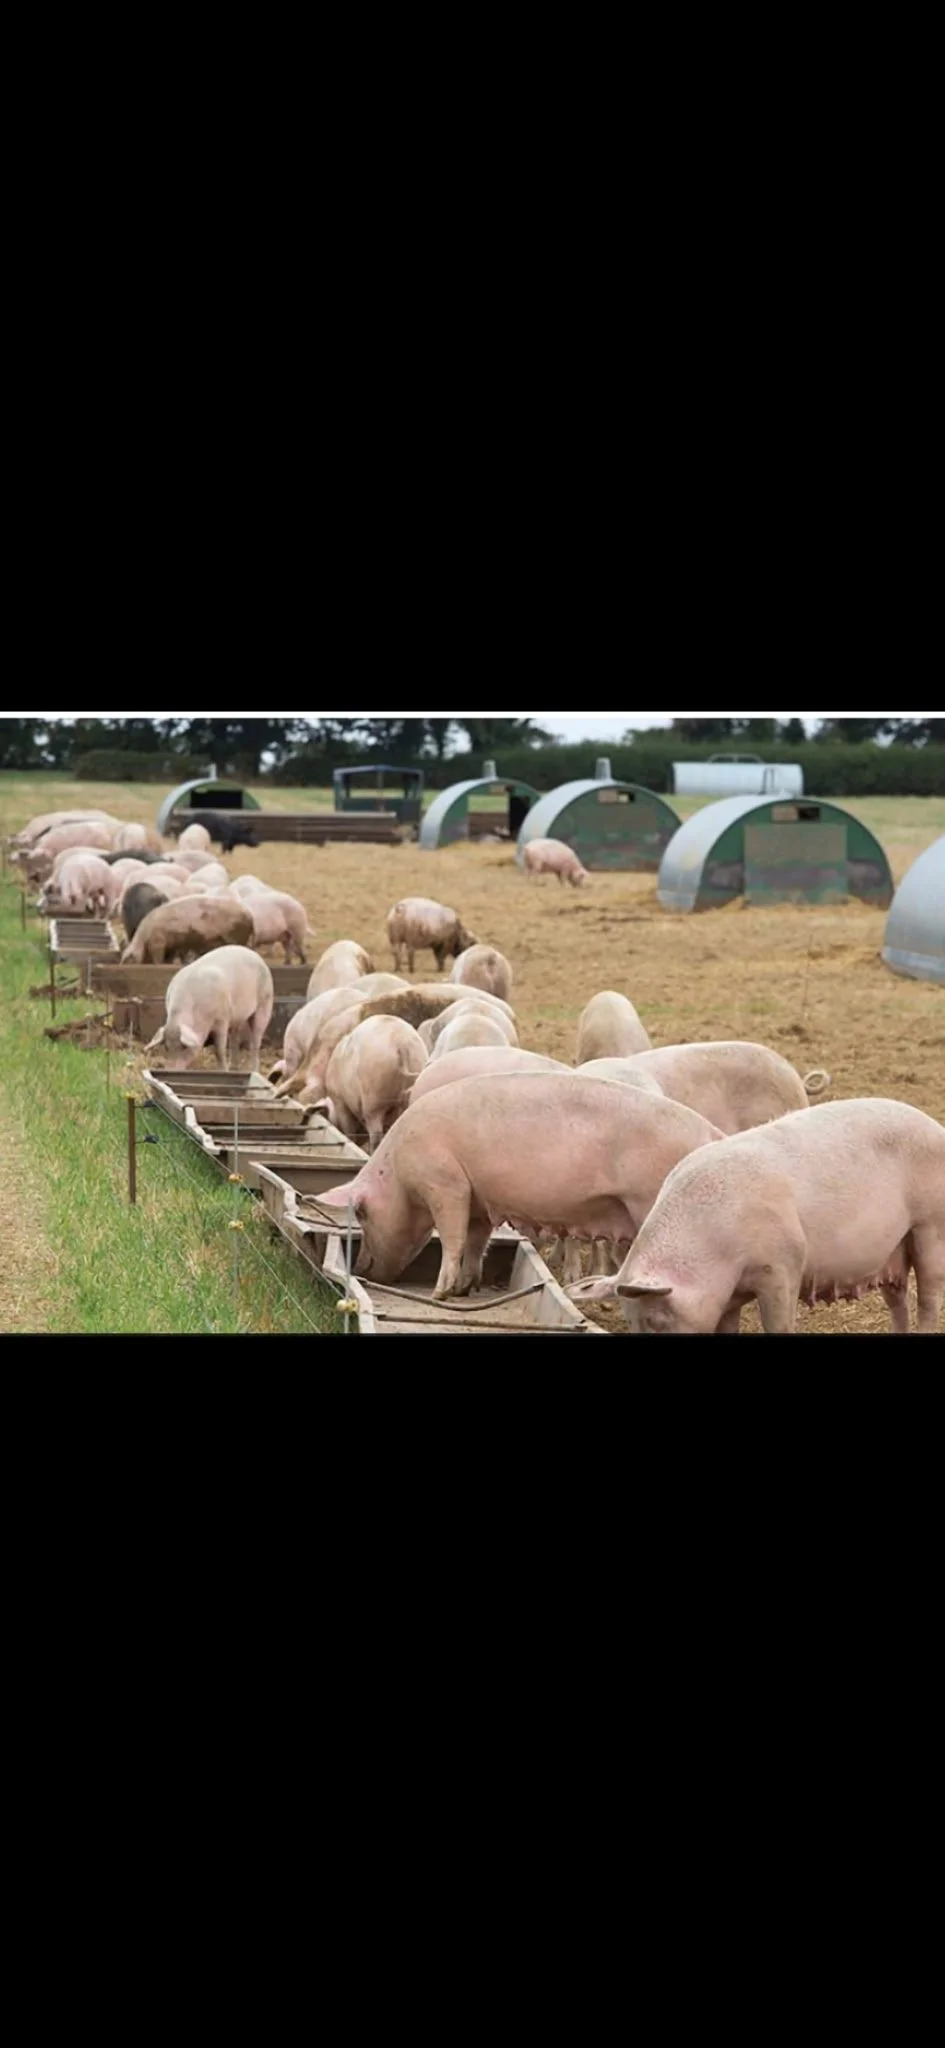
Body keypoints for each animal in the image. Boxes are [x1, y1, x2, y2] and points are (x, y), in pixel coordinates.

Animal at [120, 895, 253, 965]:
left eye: (127, 961)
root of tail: (250, 916)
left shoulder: (158, 940)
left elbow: (158, 958)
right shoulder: (177, 944)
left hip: (236, 934)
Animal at [145, 947, 274, 1071]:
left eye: (184, 1047)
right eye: (167, 1047)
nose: (170, 1070)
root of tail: (256, 955)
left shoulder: (222, 1018)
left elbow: (219, 1051)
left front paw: (223, 1071)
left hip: (265, 1002)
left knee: (255, 1042)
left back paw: (254, 1070)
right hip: (236, 1017)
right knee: (235, 1037)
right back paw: (233, 1068)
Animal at [316, 1072, 724, 1300]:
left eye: (362, 1214)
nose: (363, 1269)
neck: (397, 1170)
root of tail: (713, 1136)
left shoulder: (445, 1183)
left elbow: (451, 1236)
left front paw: (439, 1293)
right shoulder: (478, 1200)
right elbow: (475, 1242)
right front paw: (465, 1288)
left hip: (652, 1205)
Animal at [569, 1098, 945, 1335]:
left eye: (658, 1321)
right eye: (631, 1321)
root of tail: (935, 1127)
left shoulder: (783, 1265)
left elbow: (778, 1324)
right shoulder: (729, 1296)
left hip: (930, 1227)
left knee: (929, 1298)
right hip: (895, 1250)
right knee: (898, 1301)